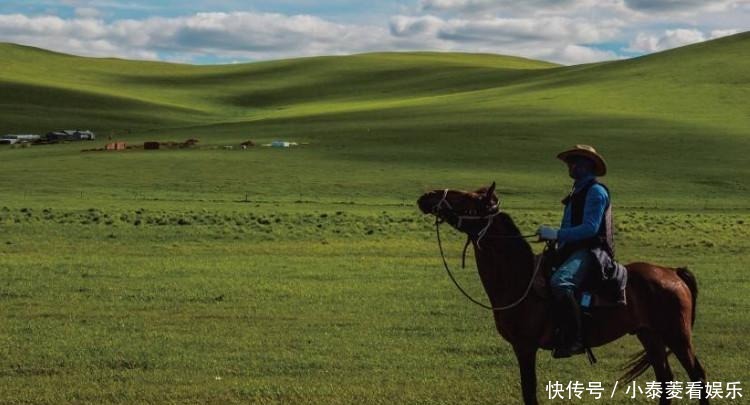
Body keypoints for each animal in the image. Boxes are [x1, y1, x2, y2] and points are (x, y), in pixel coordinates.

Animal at [418, 183, 712, 404]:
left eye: (468, 198)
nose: (426, 196)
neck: (519, 278)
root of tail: (673, 273)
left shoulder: (525, 347)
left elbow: (529, 393)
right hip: (649, 335)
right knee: (665, 380)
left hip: (677, 335)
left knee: (697, 376)